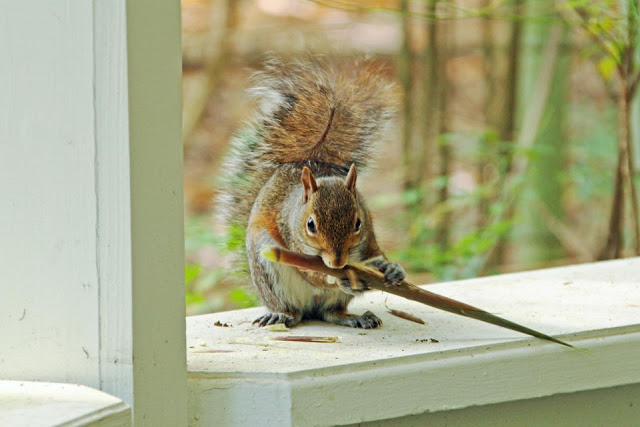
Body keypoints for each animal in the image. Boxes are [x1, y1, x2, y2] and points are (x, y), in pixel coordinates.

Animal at [216, 56, 404, 330]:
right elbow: (313, 274)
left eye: (358, 223)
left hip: (332, 302)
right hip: (267, 266)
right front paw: (338, 278)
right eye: (310, 225)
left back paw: (354, 317)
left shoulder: (368, 237)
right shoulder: (292, 240)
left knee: (330, 313)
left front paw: (391, 268)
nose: (337, 264)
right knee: (293, 309)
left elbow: (374, 254)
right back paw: (281, 314)